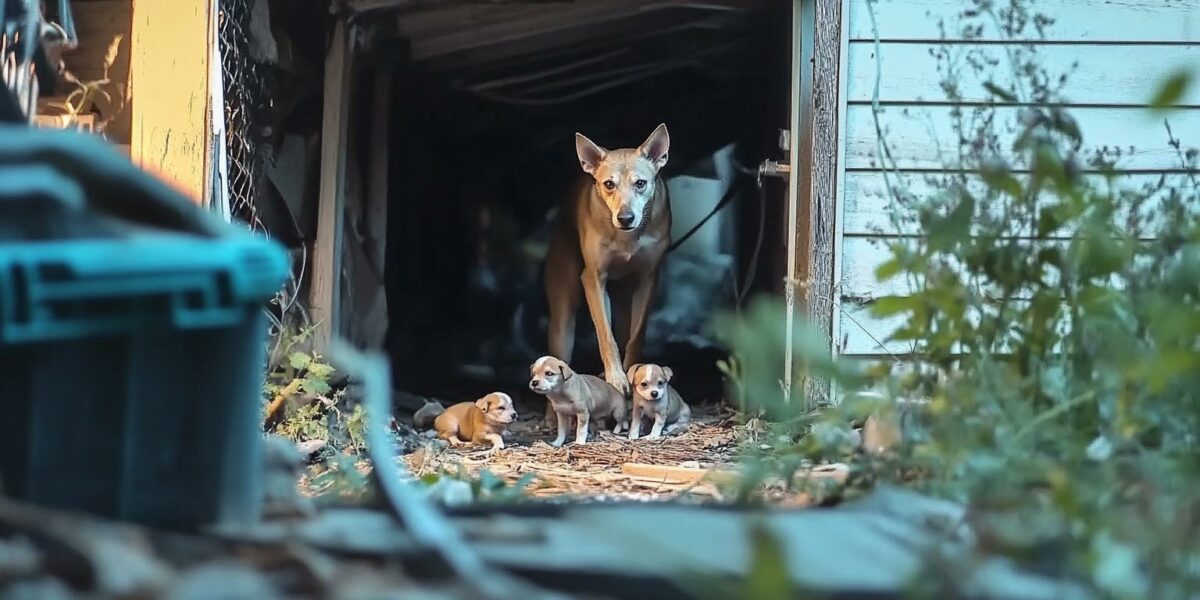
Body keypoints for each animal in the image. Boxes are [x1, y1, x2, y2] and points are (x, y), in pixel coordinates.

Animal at [547, 123, 676, 410]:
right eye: (609, 184)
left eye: (641, 183)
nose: (625, 217)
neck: (626, 238)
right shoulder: (593, 278)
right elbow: (606, 336)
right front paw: (616, 378)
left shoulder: (649, 279)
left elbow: (636, 337)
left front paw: (634, 375)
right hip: (564, 318)